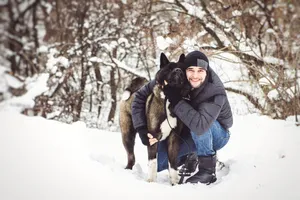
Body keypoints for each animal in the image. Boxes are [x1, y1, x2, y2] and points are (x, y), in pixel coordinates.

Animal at [118, 52, 189, 184]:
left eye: (182, 69)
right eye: (169, 69)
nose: (178, 71)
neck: (168, 98)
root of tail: (134, 90)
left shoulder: (174, 138)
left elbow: (173, 164)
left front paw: (174, 182)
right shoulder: (152, 137)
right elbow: (153, 162)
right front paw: (151, 181)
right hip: (127, 135)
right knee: (131, 156)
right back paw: (128, 169)